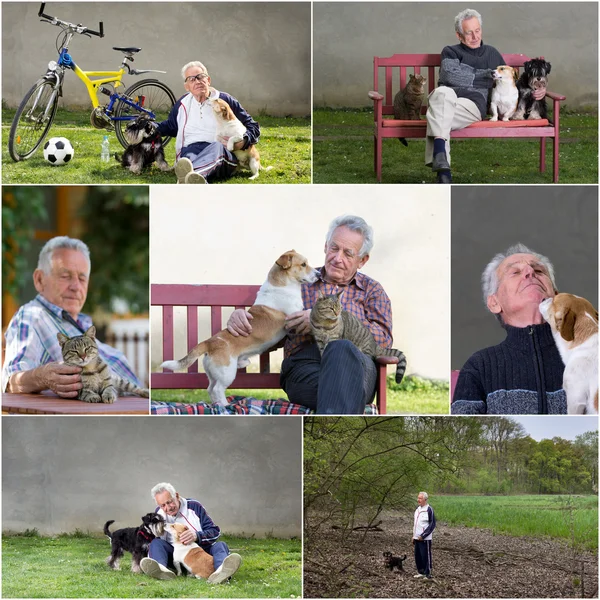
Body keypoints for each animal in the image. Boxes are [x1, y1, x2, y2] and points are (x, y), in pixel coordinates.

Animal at [159, 248, 318, 404]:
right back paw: (225, 406)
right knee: (217, 390)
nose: (318, 274)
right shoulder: (295, 314)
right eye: (303, 264)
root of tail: (209, 342)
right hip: (227, 373)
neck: (282, 285)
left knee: (210, 389)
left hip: (214, 374)